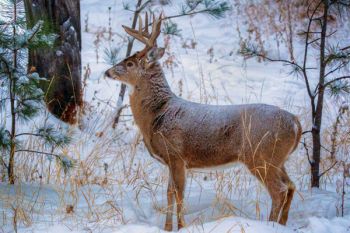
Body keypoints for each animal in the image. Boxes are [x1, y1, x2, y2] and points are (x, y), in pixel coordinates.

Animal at [105, 14, 302, 231]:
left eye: (130, 63)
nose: (107, 72)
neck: (158, 114)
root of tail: (295, 122)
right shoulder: (170, 161)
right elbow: (169, 193)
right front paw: (167, 228)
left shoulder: (177, 155)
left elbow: (179, 194)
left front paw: (182, 226)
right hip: (277, 159)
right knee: (291, 185)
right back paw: (282, 224)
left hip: (261, 156)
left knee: (279, 191)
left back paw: (271, 225)